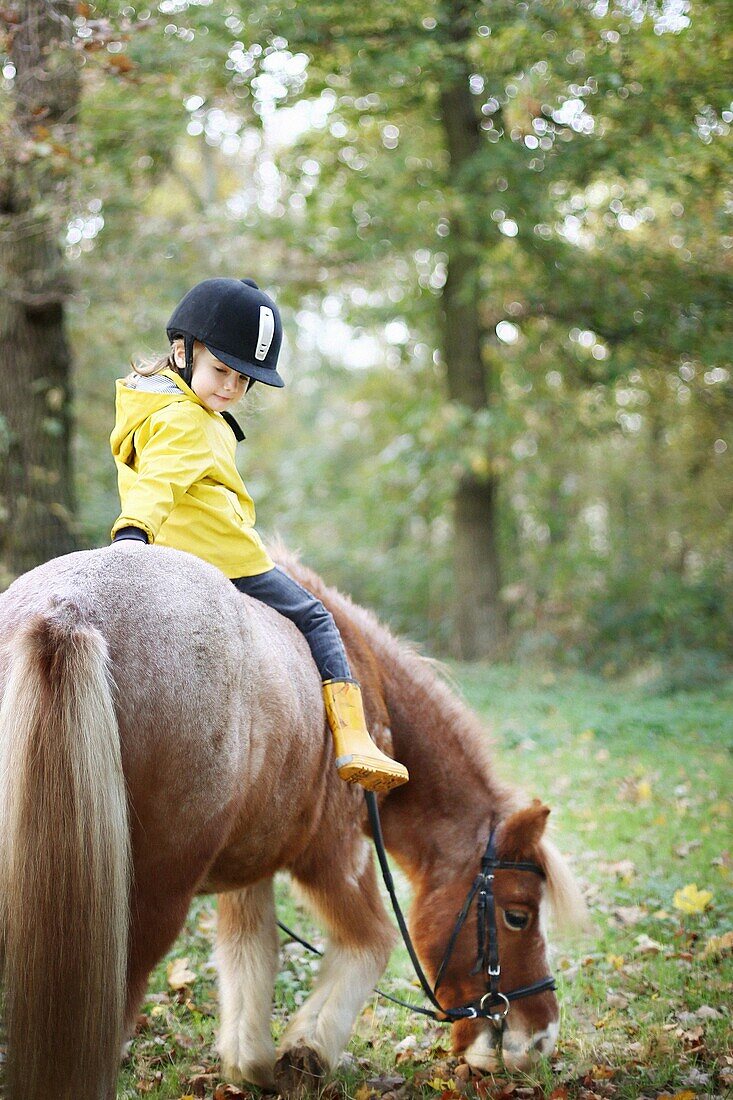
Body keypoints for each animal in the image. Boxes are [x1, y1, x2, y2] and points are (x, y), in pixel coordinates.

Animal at [0, 545, 585, 1095]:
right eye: (518, 915)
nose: (540, 1038)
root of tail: (67, 613)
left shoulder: (248, 860)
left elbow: (250, 950)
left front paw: (251, 1062)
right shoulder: (337, 854)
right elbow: (370, 943)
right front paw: (307, 1052)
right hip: (147, 908)